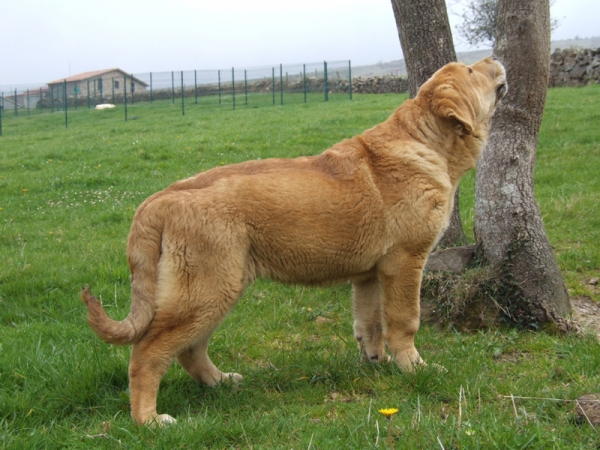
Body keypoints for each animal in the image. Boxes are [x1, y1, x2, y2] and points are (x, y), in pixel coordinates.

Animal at [81, 57, 506, 426]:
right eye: (471, 72)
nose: (494, 59)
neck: (427, 141)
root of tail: (159, 199)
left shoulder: (369, 274)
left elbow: (369, 324)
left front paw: (378, 364)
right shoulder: (405, 262)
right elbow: (404, 321)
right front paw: (414, 368)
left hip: (212, 290)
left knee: (189, 350)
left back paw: (221, 383)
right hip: (206, 290)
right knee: (148, 353)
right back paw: (149, 420)